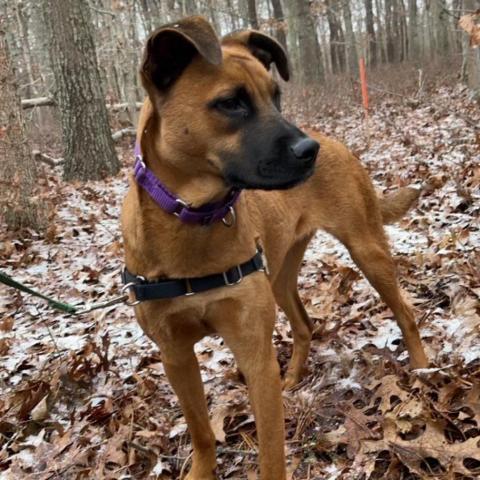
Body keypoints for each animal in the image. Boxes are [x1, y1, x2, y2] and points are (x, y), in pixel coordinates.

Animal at [121, 15, 428, 480]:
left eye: (276, 96)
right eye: (231, 103)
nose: (309, 152)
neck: (194, 221)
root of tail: (335, 141)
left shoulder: (254, 354)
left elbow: (271, 454)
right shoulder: (175, 355)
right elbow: (201, 432)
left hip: (367, 250)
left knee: (406, 313)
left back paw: (425, 370)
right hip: (280, 275)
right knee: (303, 325)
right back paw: (295, 378)